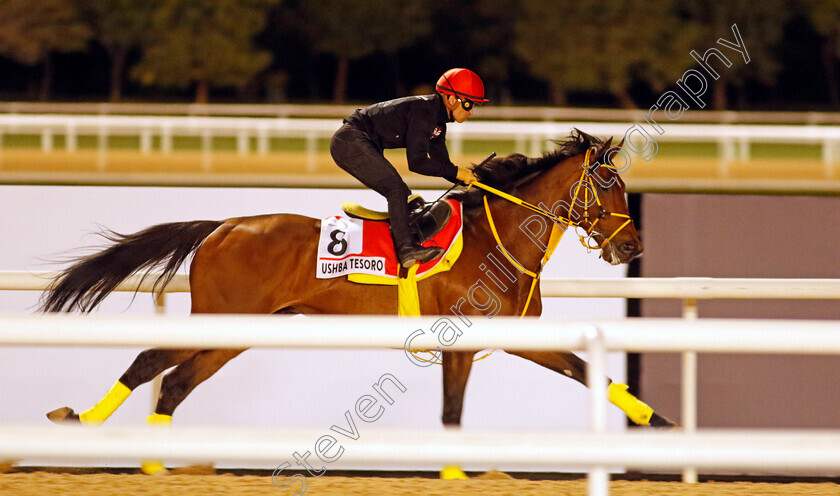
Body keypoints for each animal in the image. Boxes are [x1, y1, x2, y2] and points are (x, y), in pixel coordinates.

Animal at [42, 132, 676, 472]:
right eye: (609, 186)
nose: (632, 247)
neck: (497, 240)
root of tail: (222, 225)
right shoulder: (459, 343)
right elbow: (452, 412)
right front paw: (452, 471)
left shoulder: (519, 338)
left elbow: (593, 374)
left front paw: (665, 426)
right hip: (222, 318)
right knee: (152, 361)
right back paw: (85, 422)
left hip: (241, 329)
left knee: (173, 382)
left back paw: (150, 457)